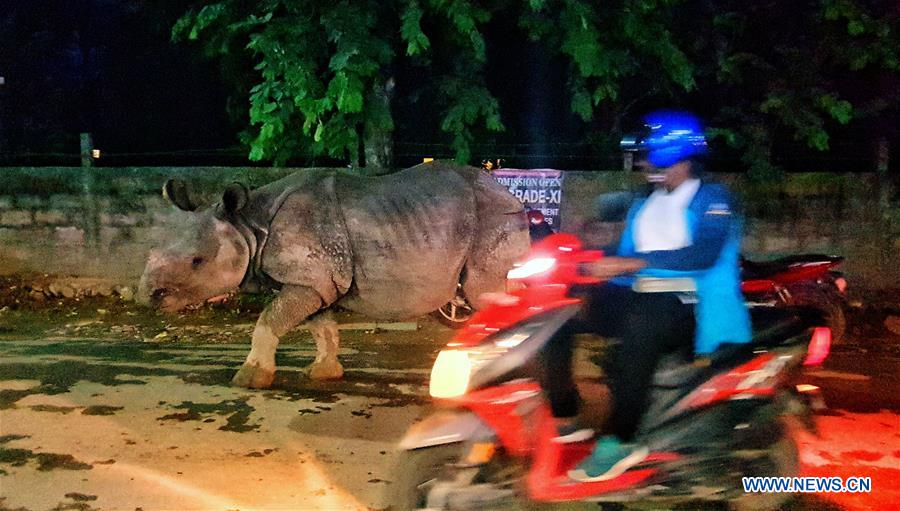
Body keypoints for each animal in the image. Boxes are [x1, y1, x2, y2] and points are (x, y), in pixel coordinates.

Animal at [138, 162, 529, 388]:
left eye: (197, 261)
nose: (149, 295)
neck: (249, 224)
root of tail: (511, 194)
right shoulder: (317, 281)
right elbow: (321, 327)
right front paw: (324, 373)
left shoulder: (311, 276)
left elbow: (267, 320)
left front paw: (249, 379)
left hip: (494, 217)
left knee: (484, 291)